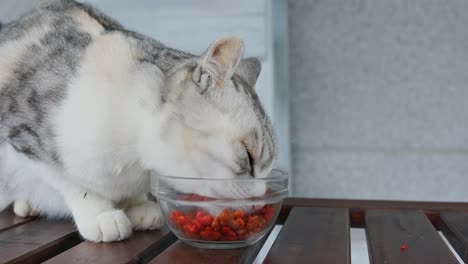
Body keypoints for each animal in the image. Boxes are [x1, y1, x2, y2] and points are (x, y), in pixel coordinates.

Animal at [0, 0, 276, 242]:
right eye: (249, 157)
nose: (260, 199)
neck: (134, 161)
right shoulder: (23, 135)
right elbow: (71, 182)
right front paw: (100, 215)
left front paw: (137, 206)